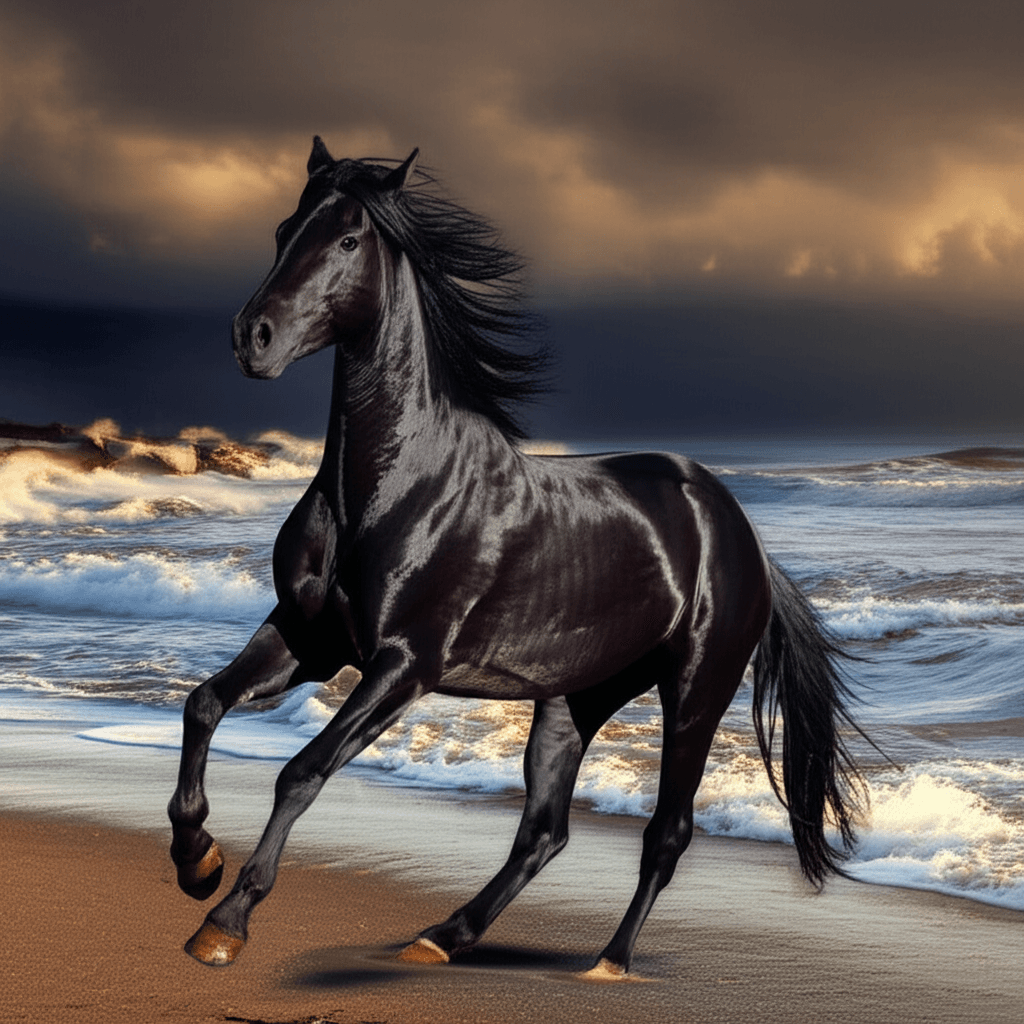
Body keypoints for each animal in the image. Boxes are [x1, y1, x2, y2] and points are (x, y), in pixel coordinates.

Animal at [167, 137, 868, 978]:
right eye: (281, 230)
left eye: (347, 239)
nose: (253, 337)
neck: (390, 486)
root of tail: (741, 533)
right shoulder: (310, 640)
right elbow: (203, 704)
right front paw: (196, 860)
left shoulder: (403, 666)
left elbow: (302, 770)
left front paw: (225, 921)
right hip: (574, 700)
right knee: (545, 829)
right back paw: (439, 937)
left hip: (696, 690)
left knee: (665, 833)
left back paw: (607, 963)